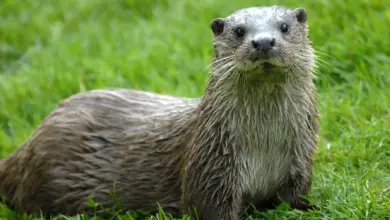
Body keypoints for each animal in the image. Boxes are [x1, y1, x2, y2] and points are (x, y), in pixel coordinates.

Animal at [0, 5, 320, 220]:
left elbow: (295, 196)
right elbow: (207, 207)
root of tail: (27, 146)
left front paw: (310, 207)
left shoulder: (300, 160)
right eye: (239, 31)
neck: (265, 145)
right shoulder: (210, 170)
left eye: (284, 27)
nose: (263, 42)